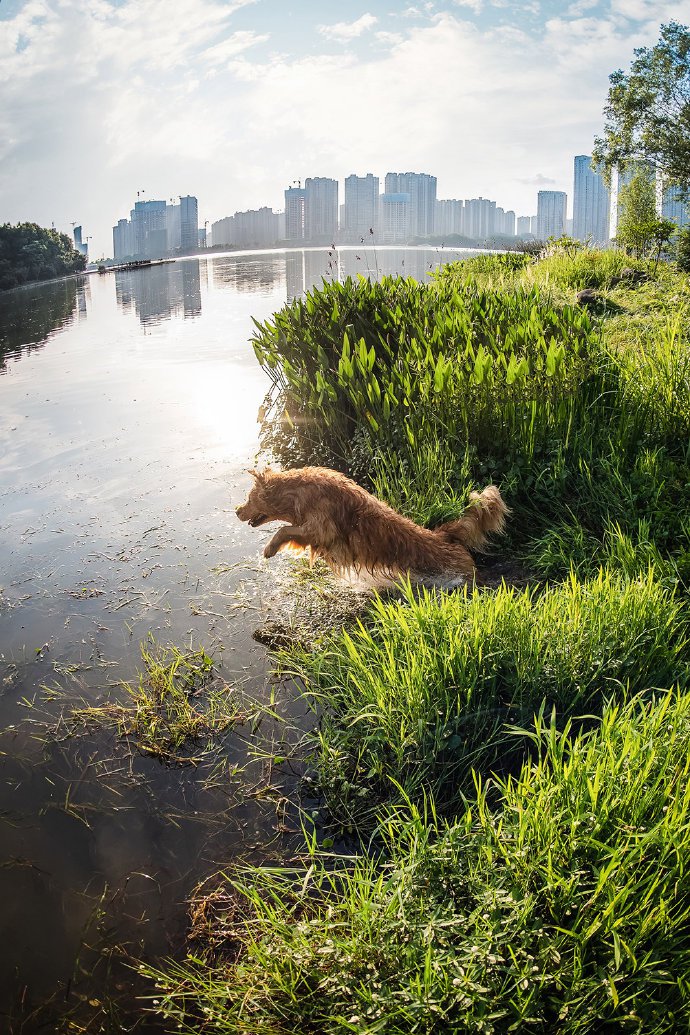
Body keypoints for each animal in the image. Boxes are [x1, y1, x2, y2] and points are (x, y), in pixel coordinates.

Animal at [235, 469, 506, 583]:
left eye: (248, 498)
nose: (237, 510)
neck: (298, 492)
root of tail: (444, 536)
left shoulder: (321, 529)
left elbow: (284, 529)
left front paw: (269, 548)